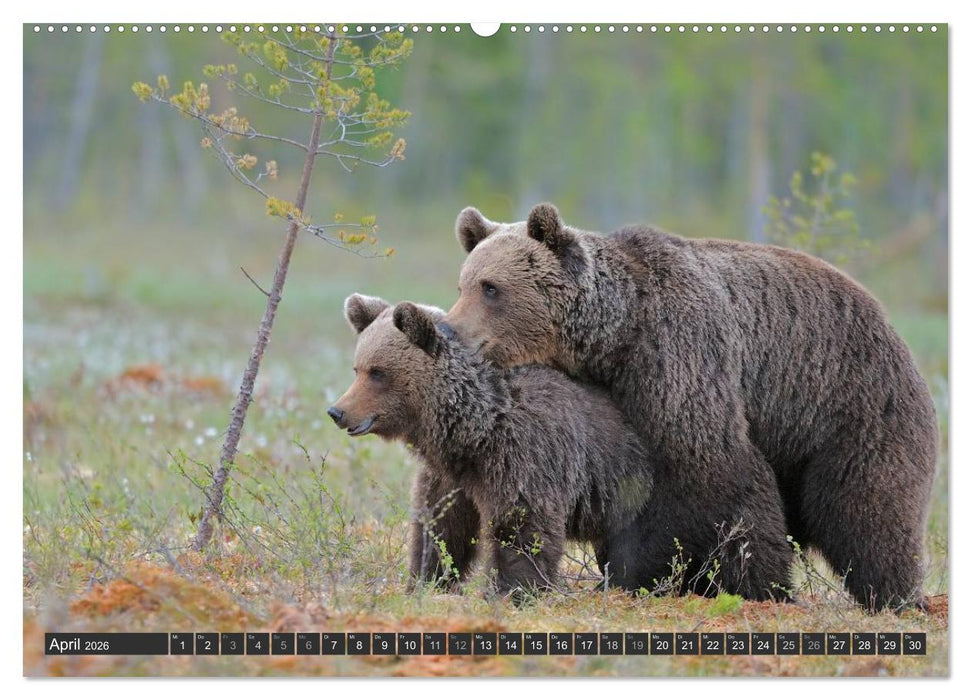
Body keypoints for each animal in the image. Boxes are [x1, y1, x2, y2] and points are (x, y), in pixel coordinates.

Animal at [328, 293, 670, 596]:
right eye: (358, 368)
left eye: (378, 372)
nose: (337, 412)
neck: (476, 428)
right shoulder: (451, 476)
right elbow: (441, 527)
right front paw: (427, 580)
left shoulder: (525, 454)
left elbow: (521, 528)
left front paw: (513, 590)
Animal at [442, 202, 938, 611]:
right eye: (463, 284)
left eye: (491, 287)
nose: (449, 329)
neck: (614, 338)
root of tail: (895, 334)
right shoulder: (613, 398)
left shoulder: (680, 354)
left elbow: (708, 473)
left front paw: (687, 576)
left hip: (847, 409)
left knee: (867, 508)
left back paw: (895, 595)